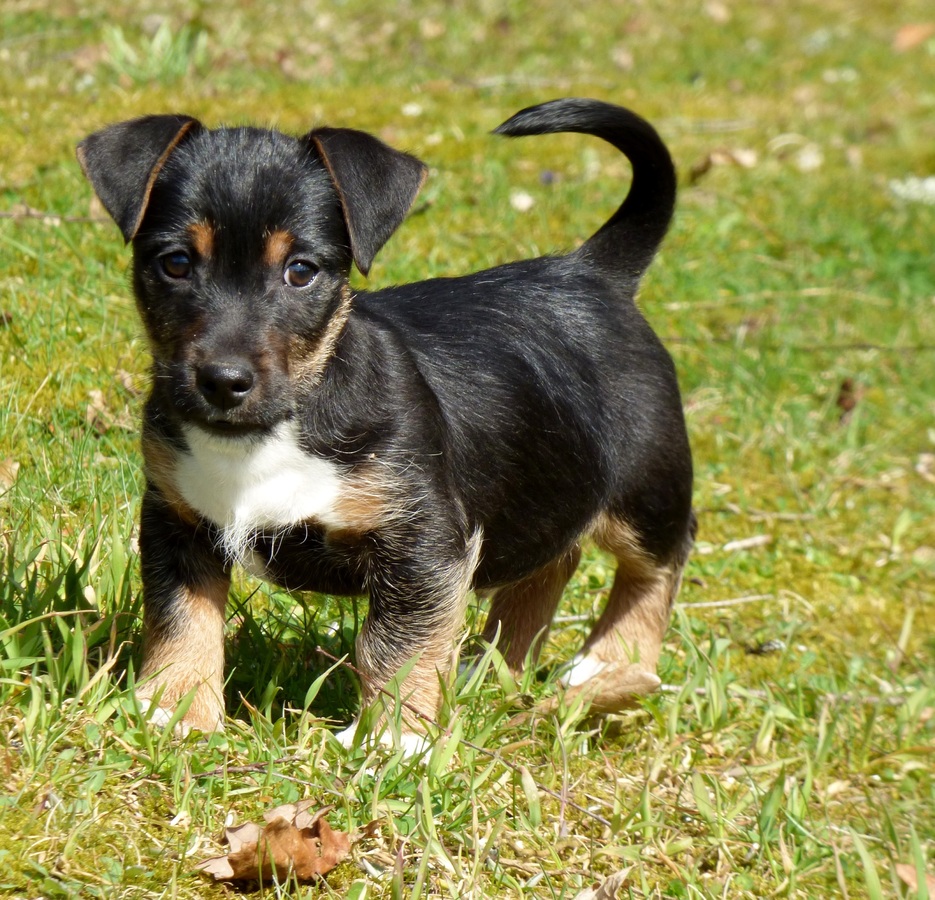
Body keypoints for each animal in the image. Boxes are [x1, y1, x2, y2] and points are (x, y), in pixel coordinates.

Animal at [78, 98, 696, 748]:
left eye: (301, 271)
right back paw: (488, 669)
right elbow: (181, 617)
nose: (223, 381)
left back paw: (611, 666)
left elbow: (394, 645)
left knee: (659, 561)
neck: (279, 427)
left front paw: (394, 741)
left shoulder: (423, 545)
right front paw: (176, 710)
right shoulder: (177, 521)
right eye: (175, 263)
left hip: (647, 490)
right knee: (556, 559)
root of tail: (592, 272)